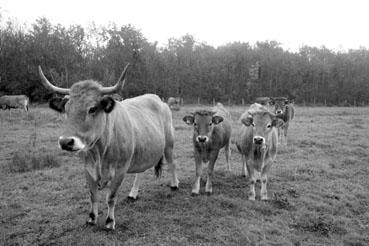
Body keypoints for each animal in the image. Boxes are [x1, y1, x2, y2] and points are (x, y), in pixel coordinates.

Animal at [38, 64, 179, 230]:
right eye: (66, 109)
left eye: (92, 108)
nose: (66, 142)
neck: (99, 153)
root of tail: (158, 99)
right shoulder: (87, 168)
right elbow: (93, 196)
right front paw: (91, 218)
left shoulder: (120, 169)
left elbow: (111, 197)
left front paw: (110, 221)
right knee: (140, 172)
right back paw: (133, 193)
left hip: (169, 144)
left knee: (172, 163)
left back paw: (174, 185)